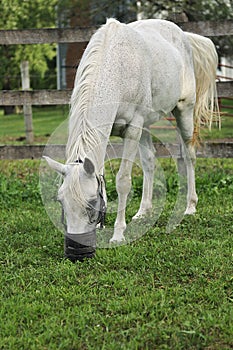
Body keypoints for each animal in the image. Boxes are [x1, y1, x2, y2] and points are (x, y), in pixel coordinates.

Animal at [44, 18, 218, 260]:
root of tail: (183, 34)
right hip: (146, 126)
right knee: (149, 162)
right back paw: (143, 211)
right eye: (61, 201)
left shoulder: (133, 129)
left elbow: (123, 181)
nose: (76, 252)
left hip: (183, 111)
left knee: (189, 155)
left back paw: (190, 206)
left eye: (91, 204)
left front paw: (118, 234)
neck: (116, 69)